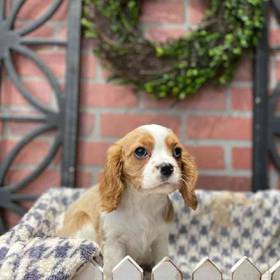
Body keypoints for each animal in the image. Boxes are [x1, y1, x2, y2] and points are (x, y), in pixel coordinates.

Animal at [57, 124, 197, 278]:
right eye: (140, 151)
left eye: (177, 151)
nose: (167, 167)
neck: (144, 201)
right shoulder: (114, 244)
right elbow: (111, 269)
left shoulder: (160, 240)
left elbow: (162, 262)